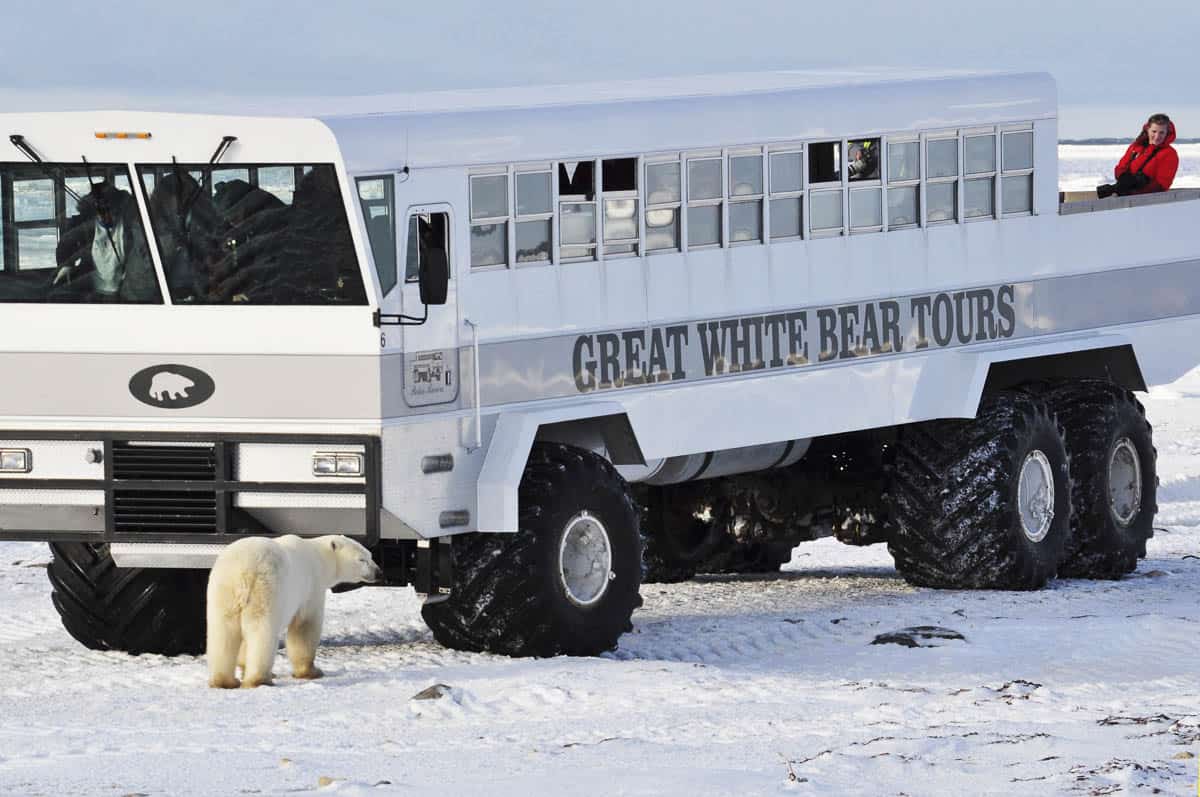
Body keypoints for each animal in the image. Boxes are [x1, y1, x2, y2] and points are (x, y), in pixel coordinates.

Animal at [204, 532, 376, 686]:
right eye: (362, 559)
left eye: (370, 555)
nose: (378, 571)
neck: (319, 558)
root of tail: (242, 573)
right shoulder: (310, 587)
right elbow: (304, 627)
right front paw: (311, 671)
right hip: (266, 588)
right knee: (262, 631)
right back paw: (260, 679)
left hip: (223, 591)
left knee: (222, 632)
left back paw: (225, 681)